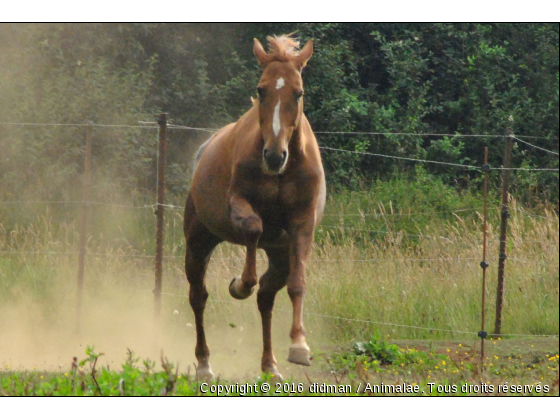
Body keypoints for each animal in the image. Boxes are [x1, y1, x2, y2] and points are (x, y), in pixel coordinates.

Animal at [185, 34, 324, 378]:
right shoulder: (238, 203)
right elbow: (253, 228)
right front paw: (238, 285)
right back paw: (204, 364)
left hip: (279, 254)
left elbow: (298, 283)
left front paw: (299, 346)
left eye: (298, 92)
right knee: (198, 295)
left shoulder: (302, 223)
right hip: (198, 240)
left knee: (266, 297)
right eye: (261, 90)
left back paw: (270, 365)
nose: (273, 156)